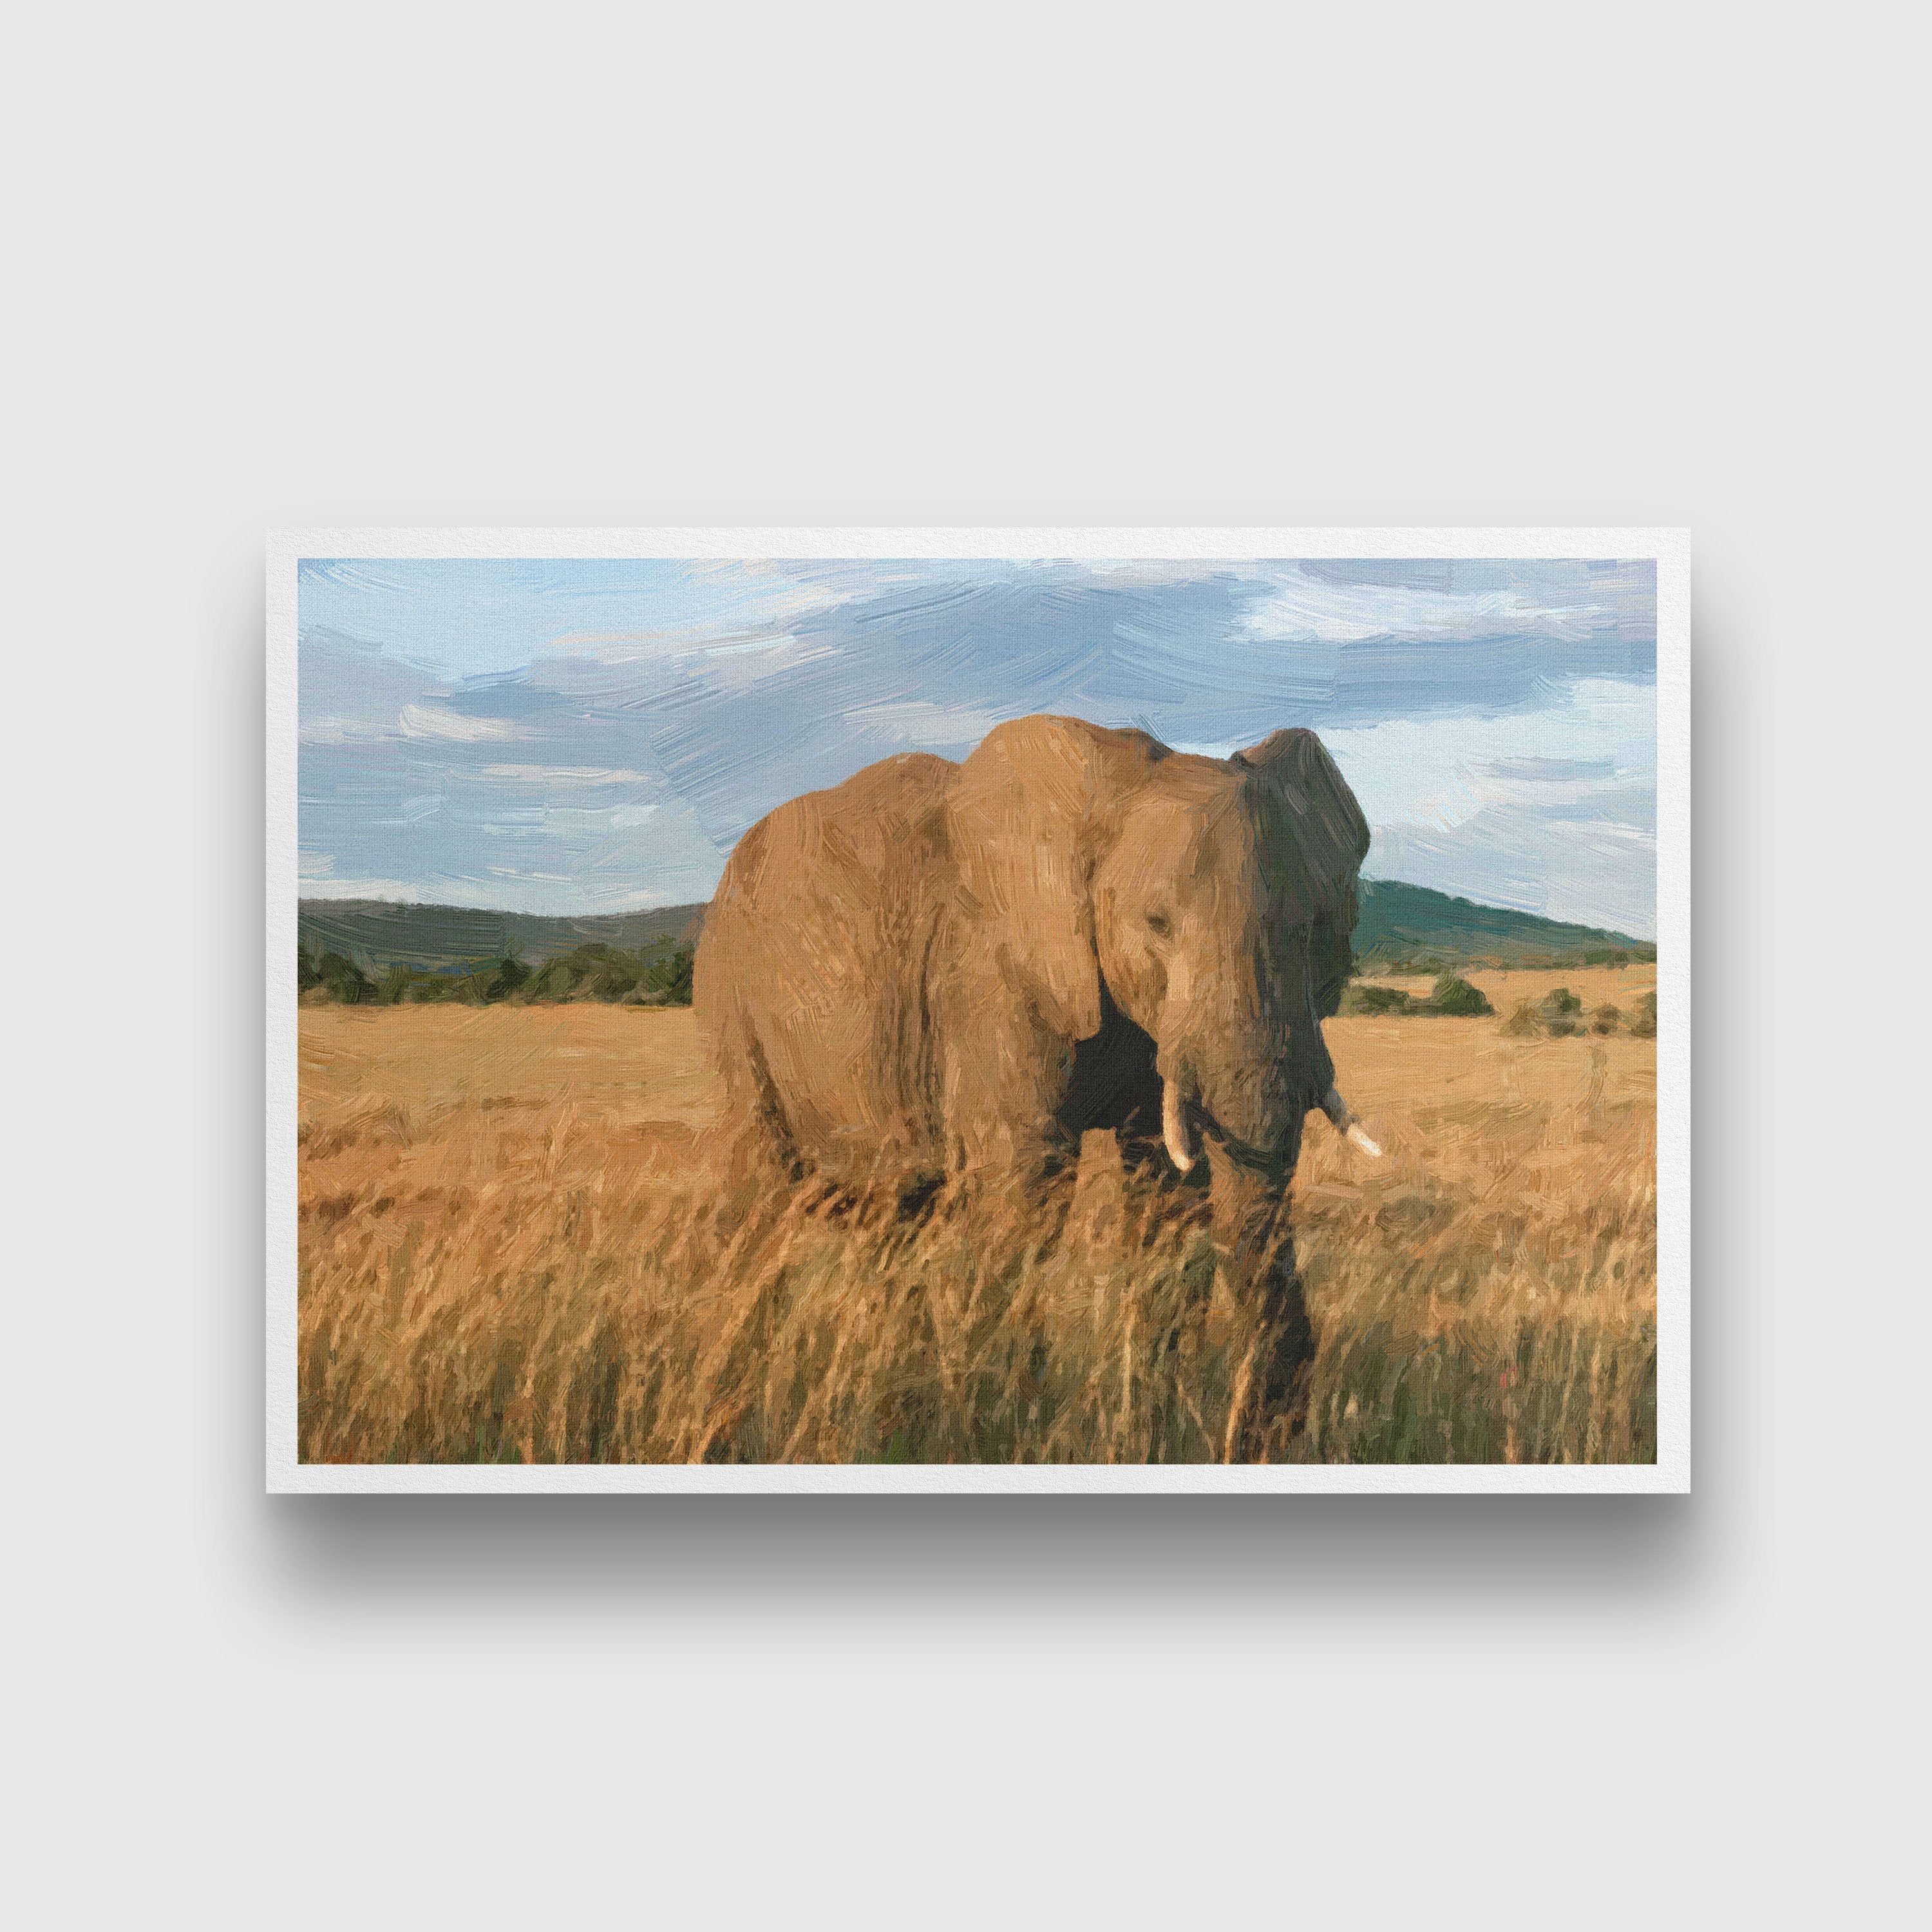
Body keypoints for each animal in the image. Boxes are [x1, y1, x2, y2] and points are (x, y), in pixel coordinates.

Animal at [693, 713, 1373, 1421]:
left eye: (1317, 929)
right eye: (1156, 923)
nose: (1257, 1431)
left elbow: (1165, 1193)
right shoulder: (987, 972)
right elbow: (1023, 1182)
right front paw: (998, 1419)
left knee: (898, 1218)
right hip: (729, 991)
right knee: (755, 1191)